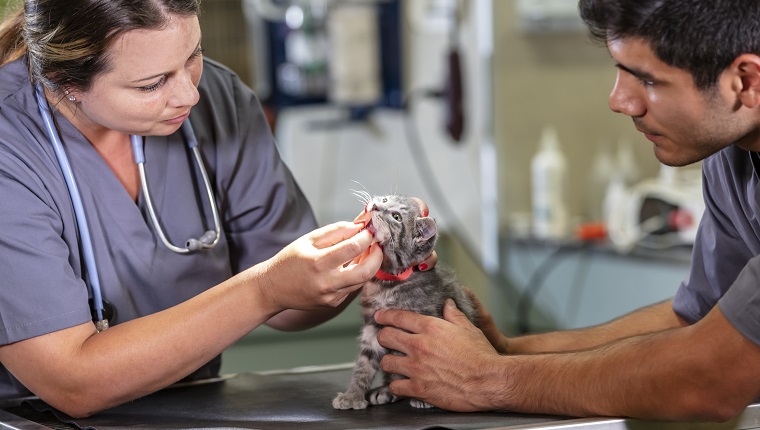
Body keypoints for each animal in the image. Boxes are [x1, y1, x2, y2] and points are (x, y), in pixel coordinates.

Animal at [332, 195, 476, 410]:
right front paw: (353, 395)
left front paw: (422, 396)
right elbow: (364, 364)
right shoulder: (373, 326)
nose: (375, 205)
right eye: (384, 199)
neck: (386, 284)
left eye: (396, 217)